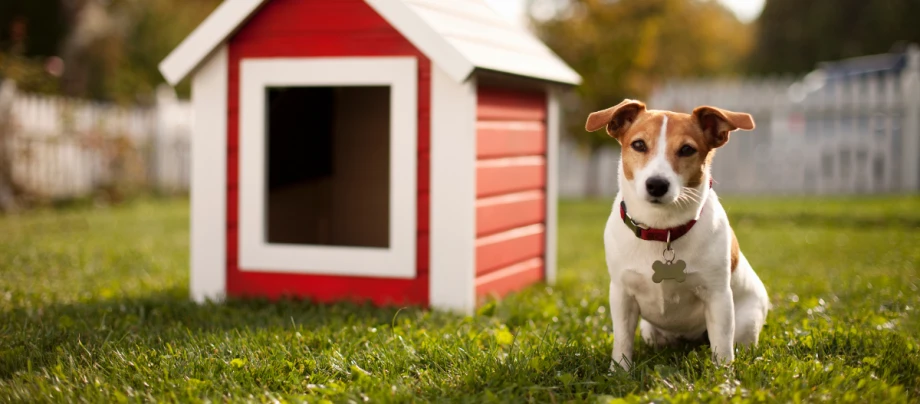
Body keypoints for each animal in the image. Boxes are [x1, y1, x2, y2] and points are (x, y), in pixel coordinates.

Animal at [584, 100, 772, 370]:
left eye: (686, 149)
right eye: (639, 144)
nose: (657, 184)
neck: (663, 230)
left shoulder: (718, 297)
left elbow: (722, 346)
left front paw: (724, 376)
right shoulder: (622, 294)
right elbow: (622, 341)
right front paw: (619, 371)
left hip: (746, 322)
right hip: (650, 331)